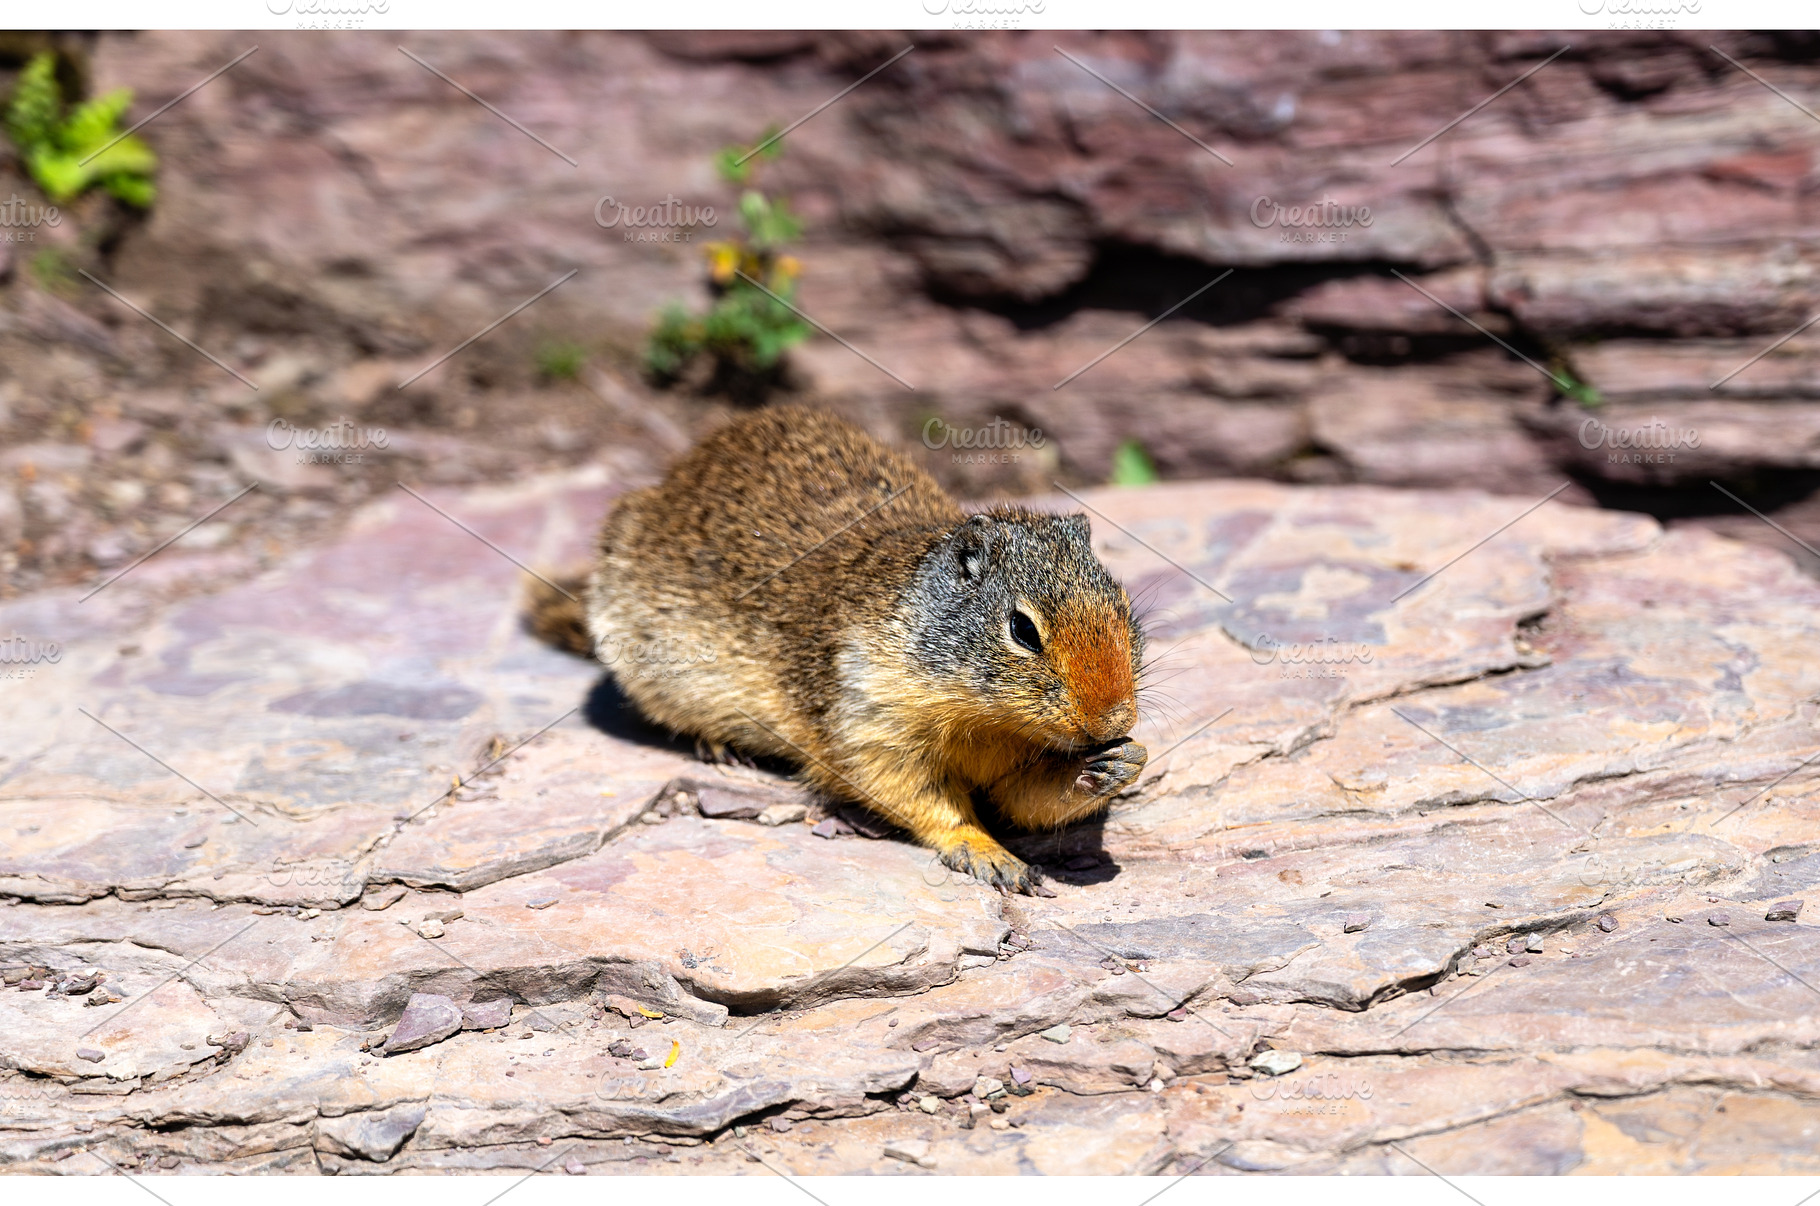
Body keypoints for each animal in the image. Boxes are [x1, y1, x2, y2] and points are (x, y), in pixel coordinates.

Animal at [526, 405, 1147, 894]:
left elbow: (1027, 799)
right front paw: (990, 855)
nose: (1114, 721)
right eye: (1022, 630)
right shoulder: (870, 722)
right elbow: (918, 797)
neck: (985, 719)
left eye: (1122, 602)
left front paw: (1120, 763)